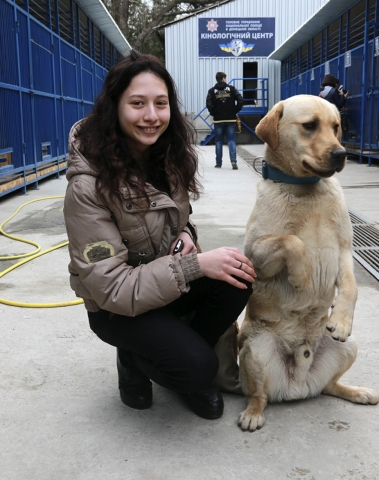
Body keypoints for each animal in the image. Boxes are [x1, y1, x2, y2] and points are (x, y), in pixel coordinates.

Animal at [239, 94, 378, 432]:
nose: (341, 153)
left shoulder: (344, 250)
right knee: (259, 395)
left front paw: (341, 319)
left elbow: (351, 287)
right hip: (256, 348)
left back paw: (357, 391)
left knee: (329, 386)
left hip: (349, 347)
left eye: (336, 126)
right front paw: (301, 276)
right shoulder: (255, 254)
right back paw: (253, 413)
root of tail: (297, 386)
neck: (306, 189)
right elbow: (293, 241)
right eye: (310, 126)